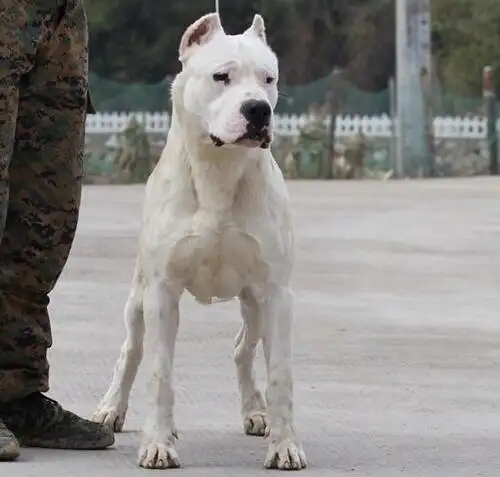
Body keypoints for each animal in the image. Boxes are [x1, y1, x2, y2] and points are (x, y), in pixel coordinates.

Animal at [92, 10, 306, 468]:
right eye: (221, 76)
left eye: (269, 79)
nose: (258, 109)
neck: (219, 170)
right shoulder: (161, 292)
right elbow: (159, 372)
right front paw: (157, 443)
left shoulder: (277, 294)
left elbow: (280, 373)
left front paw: (284, 444)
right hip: (138, 299)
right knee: (132, 350)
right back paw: (111, 409)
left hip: (254, 303)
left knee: (245, 347)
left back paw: (256, 411)